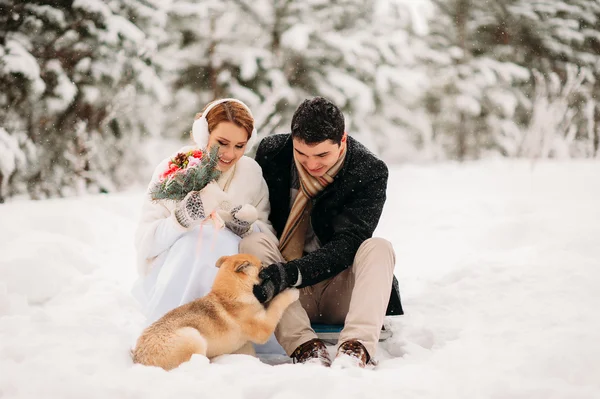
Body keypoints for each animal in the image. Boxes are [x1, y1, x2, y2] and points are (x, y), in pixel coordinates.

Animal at [132, 255, 298, 370]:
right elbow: (277, 304)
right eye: (262, 267)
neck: (228, 295)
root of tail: (139, 360)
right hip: (194, 337)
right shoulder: (262, 328)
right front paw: (291, 293)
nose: (272, 266)